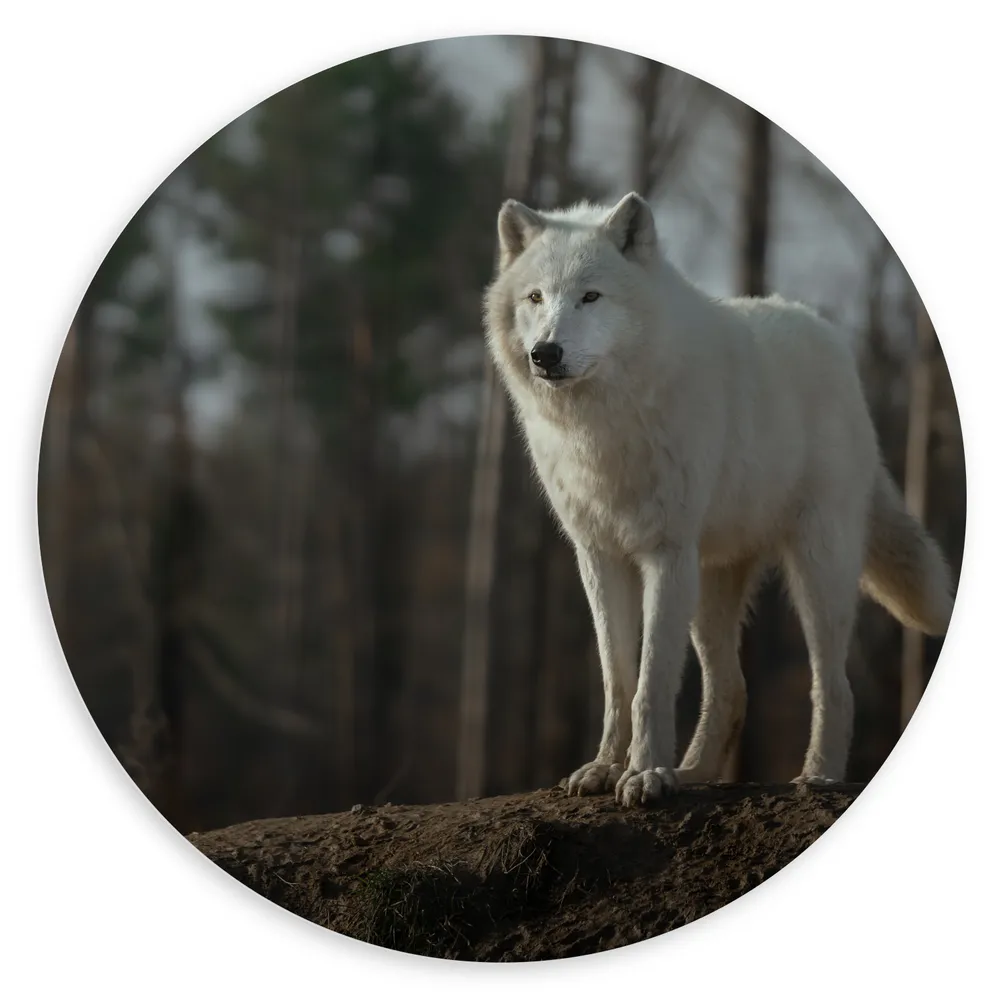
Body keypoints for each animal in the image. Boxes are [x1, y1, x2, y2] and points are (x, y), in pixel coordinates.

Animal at [483, 191, 954, 807]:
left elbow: (652, 681)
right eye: (536, 298)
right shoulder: (599, 555)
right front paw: (607, 769)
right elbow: (618, 680)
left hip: (815, 573)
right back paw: (693, 772)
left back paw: (818, 775)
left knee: (835, 685)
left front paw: (644, 776)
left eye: (590, 296)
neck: (605, 426)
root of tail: (826, 335)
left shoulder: (666, 552)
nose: (545, 353)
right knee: (732, 689)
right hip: (710, 589)